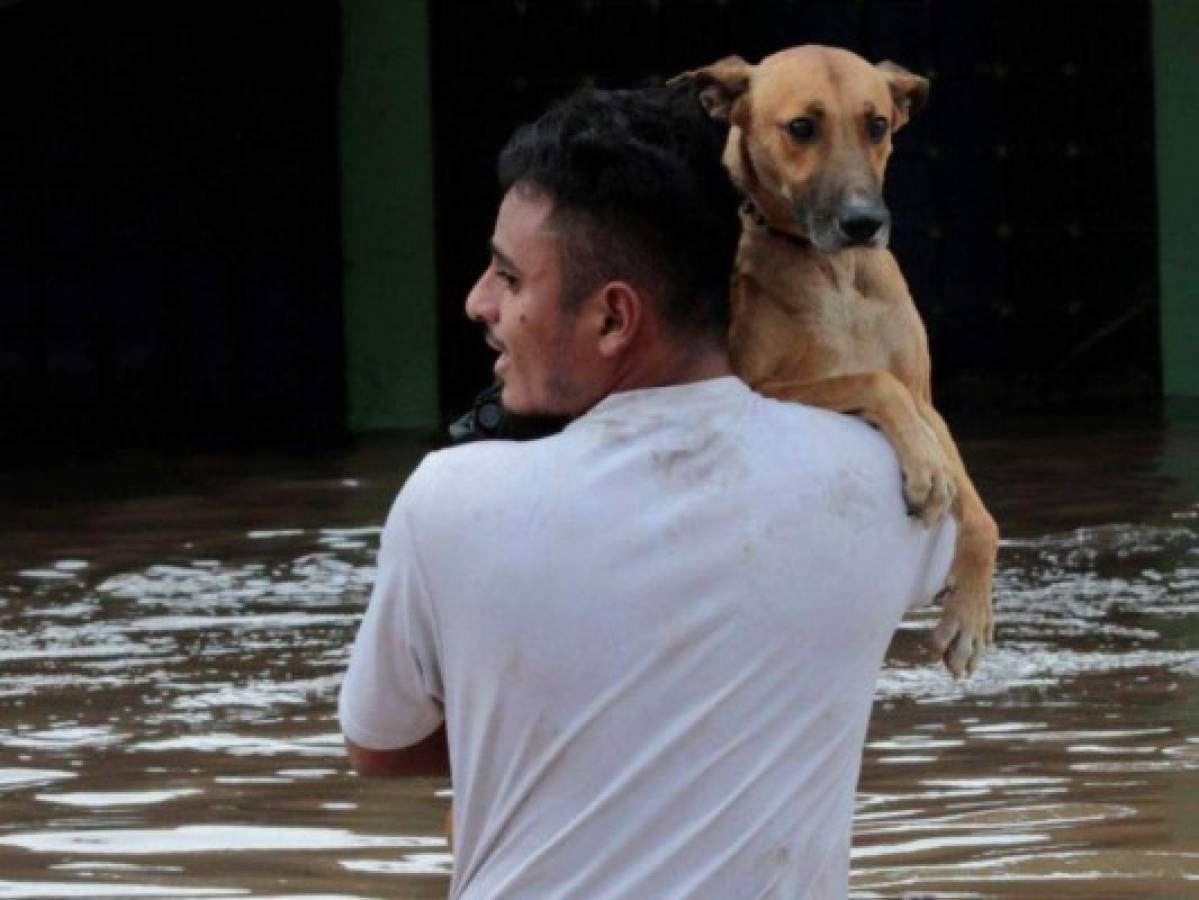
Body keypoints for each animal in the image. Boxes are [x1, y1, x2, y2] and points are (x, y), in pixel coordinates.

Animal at [681, 44, 997, 675]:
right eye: (802, 127)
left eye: (877, 125)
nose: (863, 224)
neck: (837, 273)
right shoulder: (761, 388)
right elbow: (871, 379)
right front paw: (926, 470)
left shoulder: (927, 399)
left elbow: (982, 514)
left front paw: (970, 613)